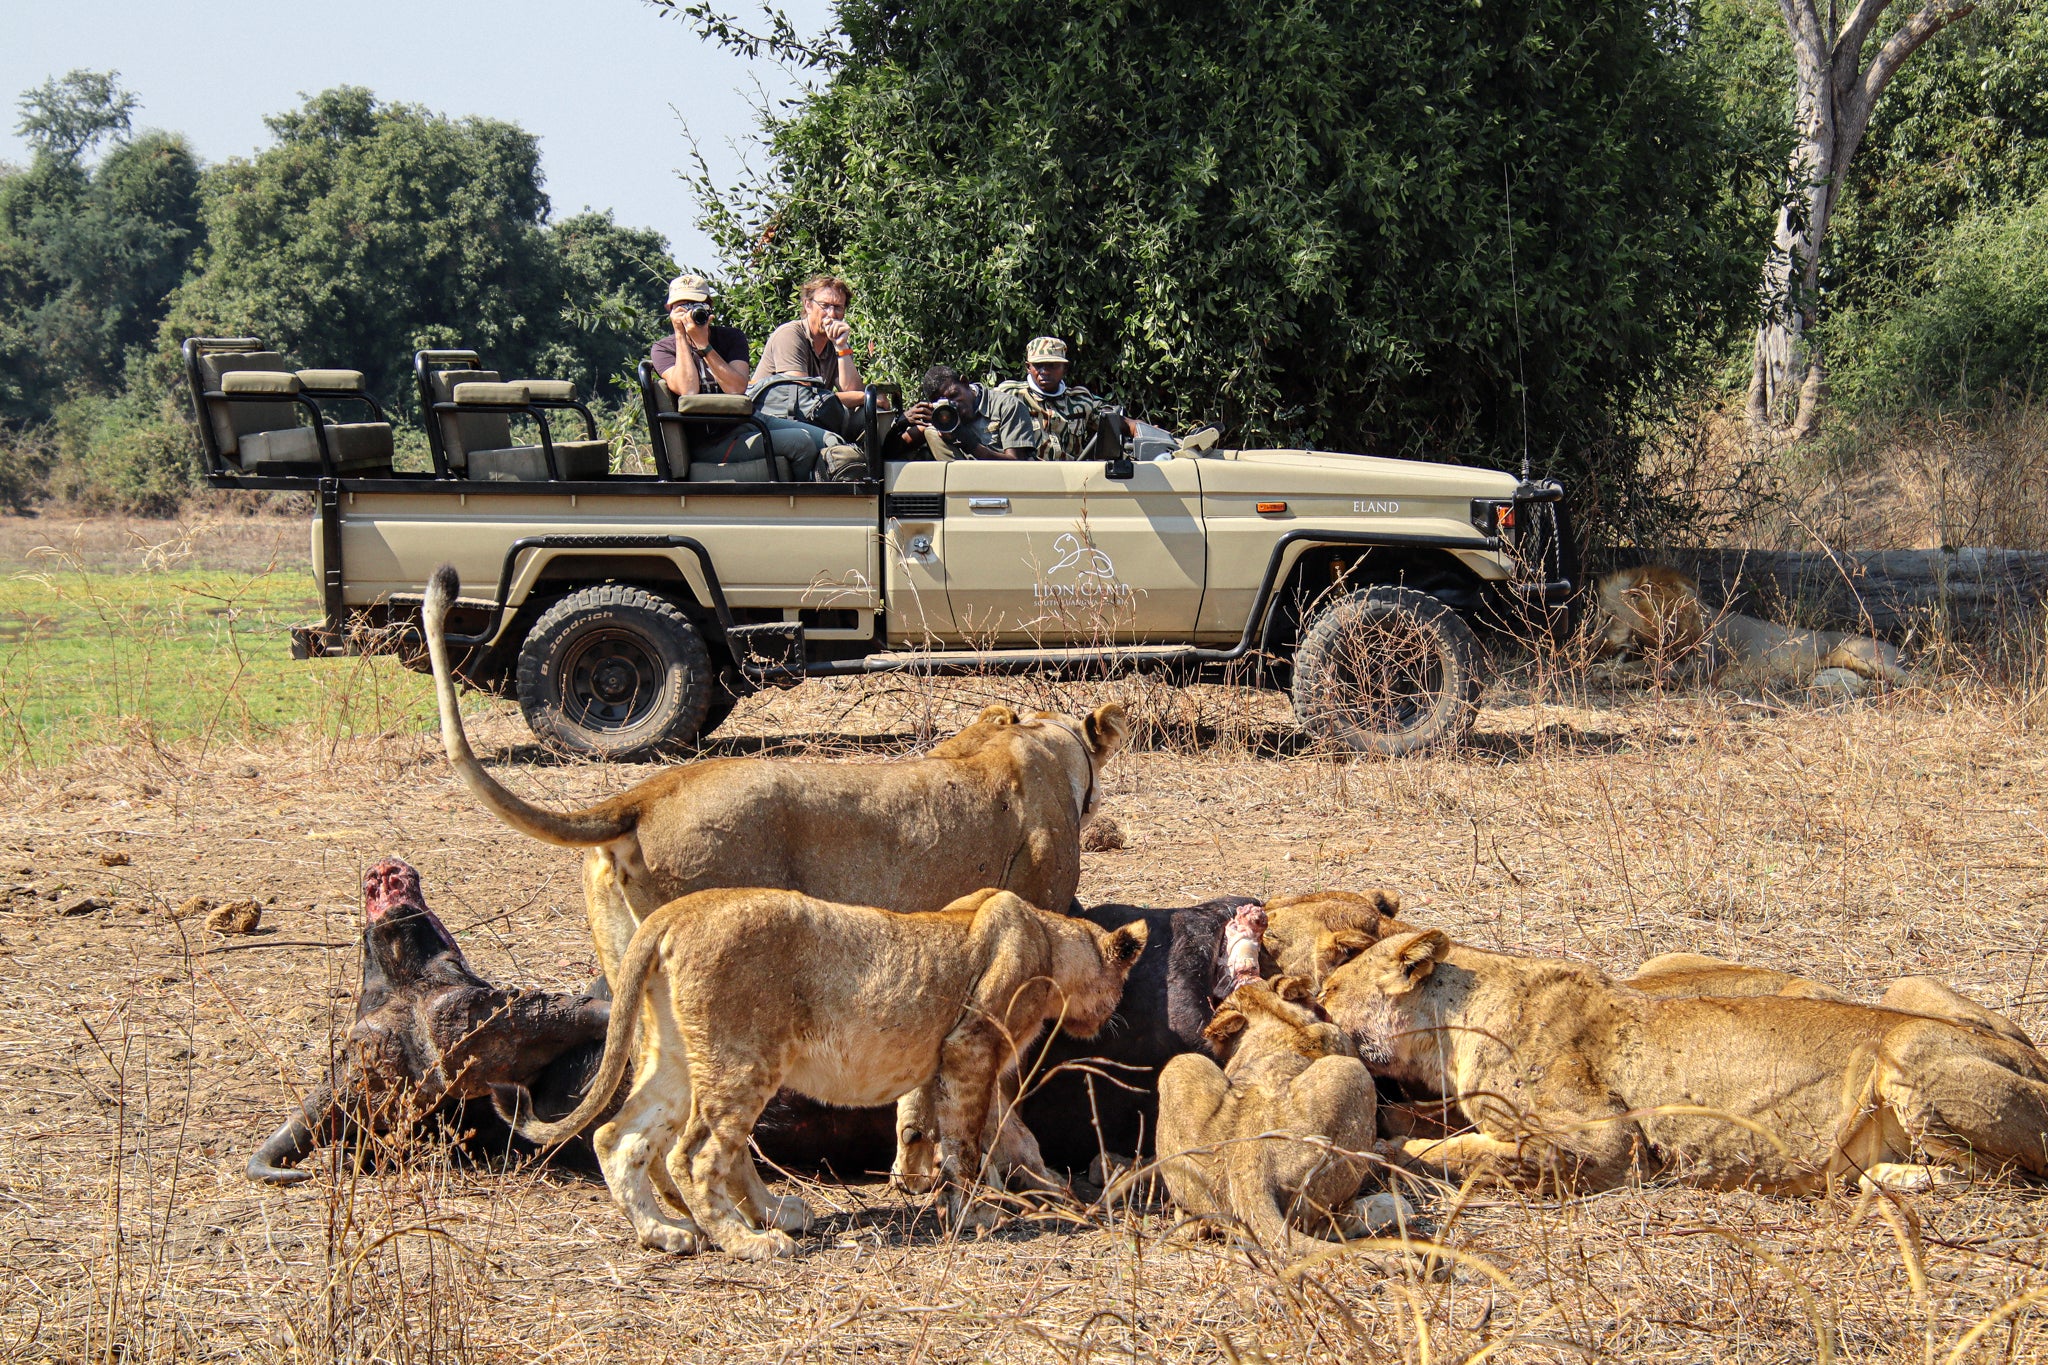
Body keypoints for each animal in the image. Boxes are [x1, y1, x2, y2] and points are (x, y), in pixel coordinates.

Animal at [499, 886, 1147, 1259]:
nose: (1113, 1015)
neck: (1050, 938)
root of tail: (673, 914)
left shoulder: (947, 1059)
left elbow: (979, 1128)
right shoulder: (971, 1046)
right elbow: (969, 1141)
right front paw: (979, 1211)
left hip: (678, 1059)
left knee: (620, 1136)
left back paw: (666, 1233)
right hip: (743, 1060)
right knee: (697, 1155)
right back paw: (748, 1241)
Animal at [1319, 930, 2048, 1193]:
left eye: (1327, 992)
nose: (1310, 1001)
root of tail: (2033, 1059)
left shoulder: (1608, 1144)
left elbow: (1464, 1152)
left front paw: (1391, 1150)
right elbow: (1439, 1124)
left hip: (1909, 1051)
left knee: (1998, 1174)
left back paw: (1883, 1178)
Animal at [1591, 564, 1906, 685]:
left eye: (1608, 616)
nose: (1590, 647)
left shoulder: (1697, 665)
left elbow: (1644, 668)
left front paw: (1605, 673)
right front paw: (1603, 669)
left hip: (1858, 655)